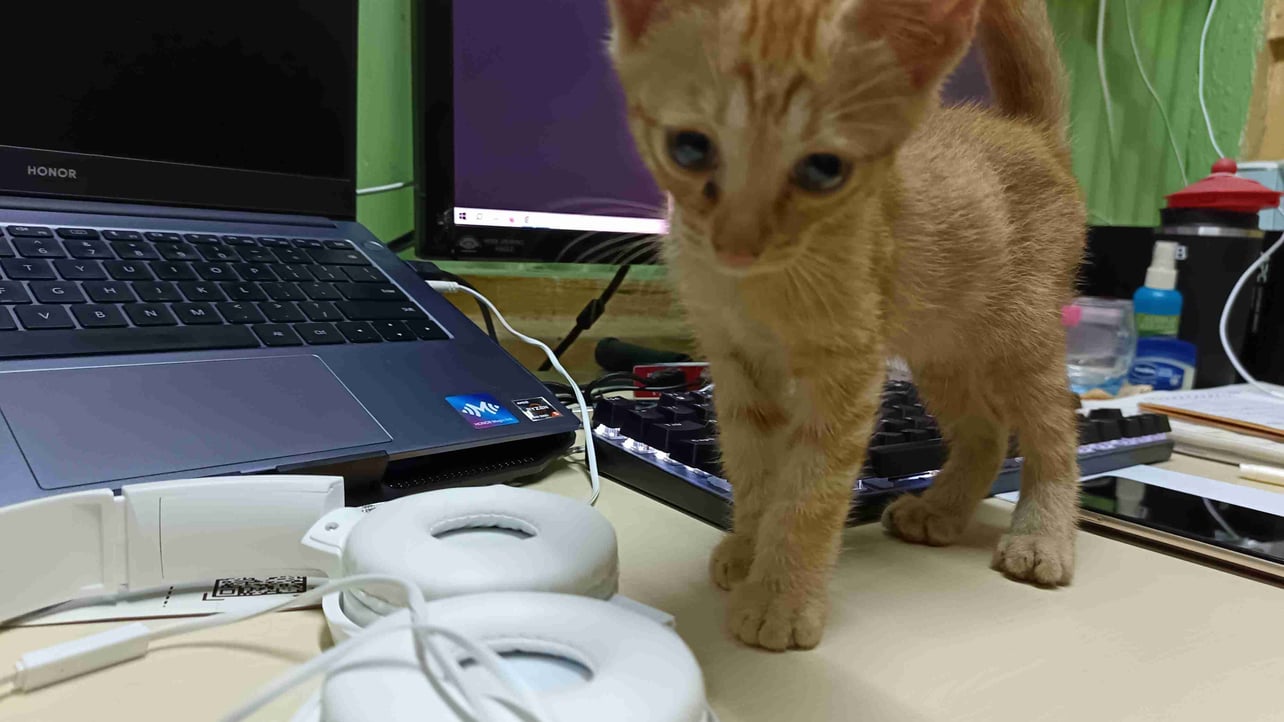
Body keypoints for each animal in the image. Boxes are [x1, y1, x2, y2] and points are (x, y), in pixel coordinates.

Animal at [605, 0, 1086, 652]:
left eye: (824, 169)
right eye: (689, 148)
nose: (738, 242)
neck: (759, 289)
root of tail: (1028, 133)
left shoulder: (848, 373)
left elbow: (809, 493)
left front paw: (780, 598)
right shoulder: (736, 366)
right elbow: (753, 470)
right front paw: (749, 548)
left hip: (1021, 338)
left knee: (1054, 434)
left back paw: (1043, 536)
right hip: (939, 348)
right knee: (986, 433)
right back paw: (940, 510)